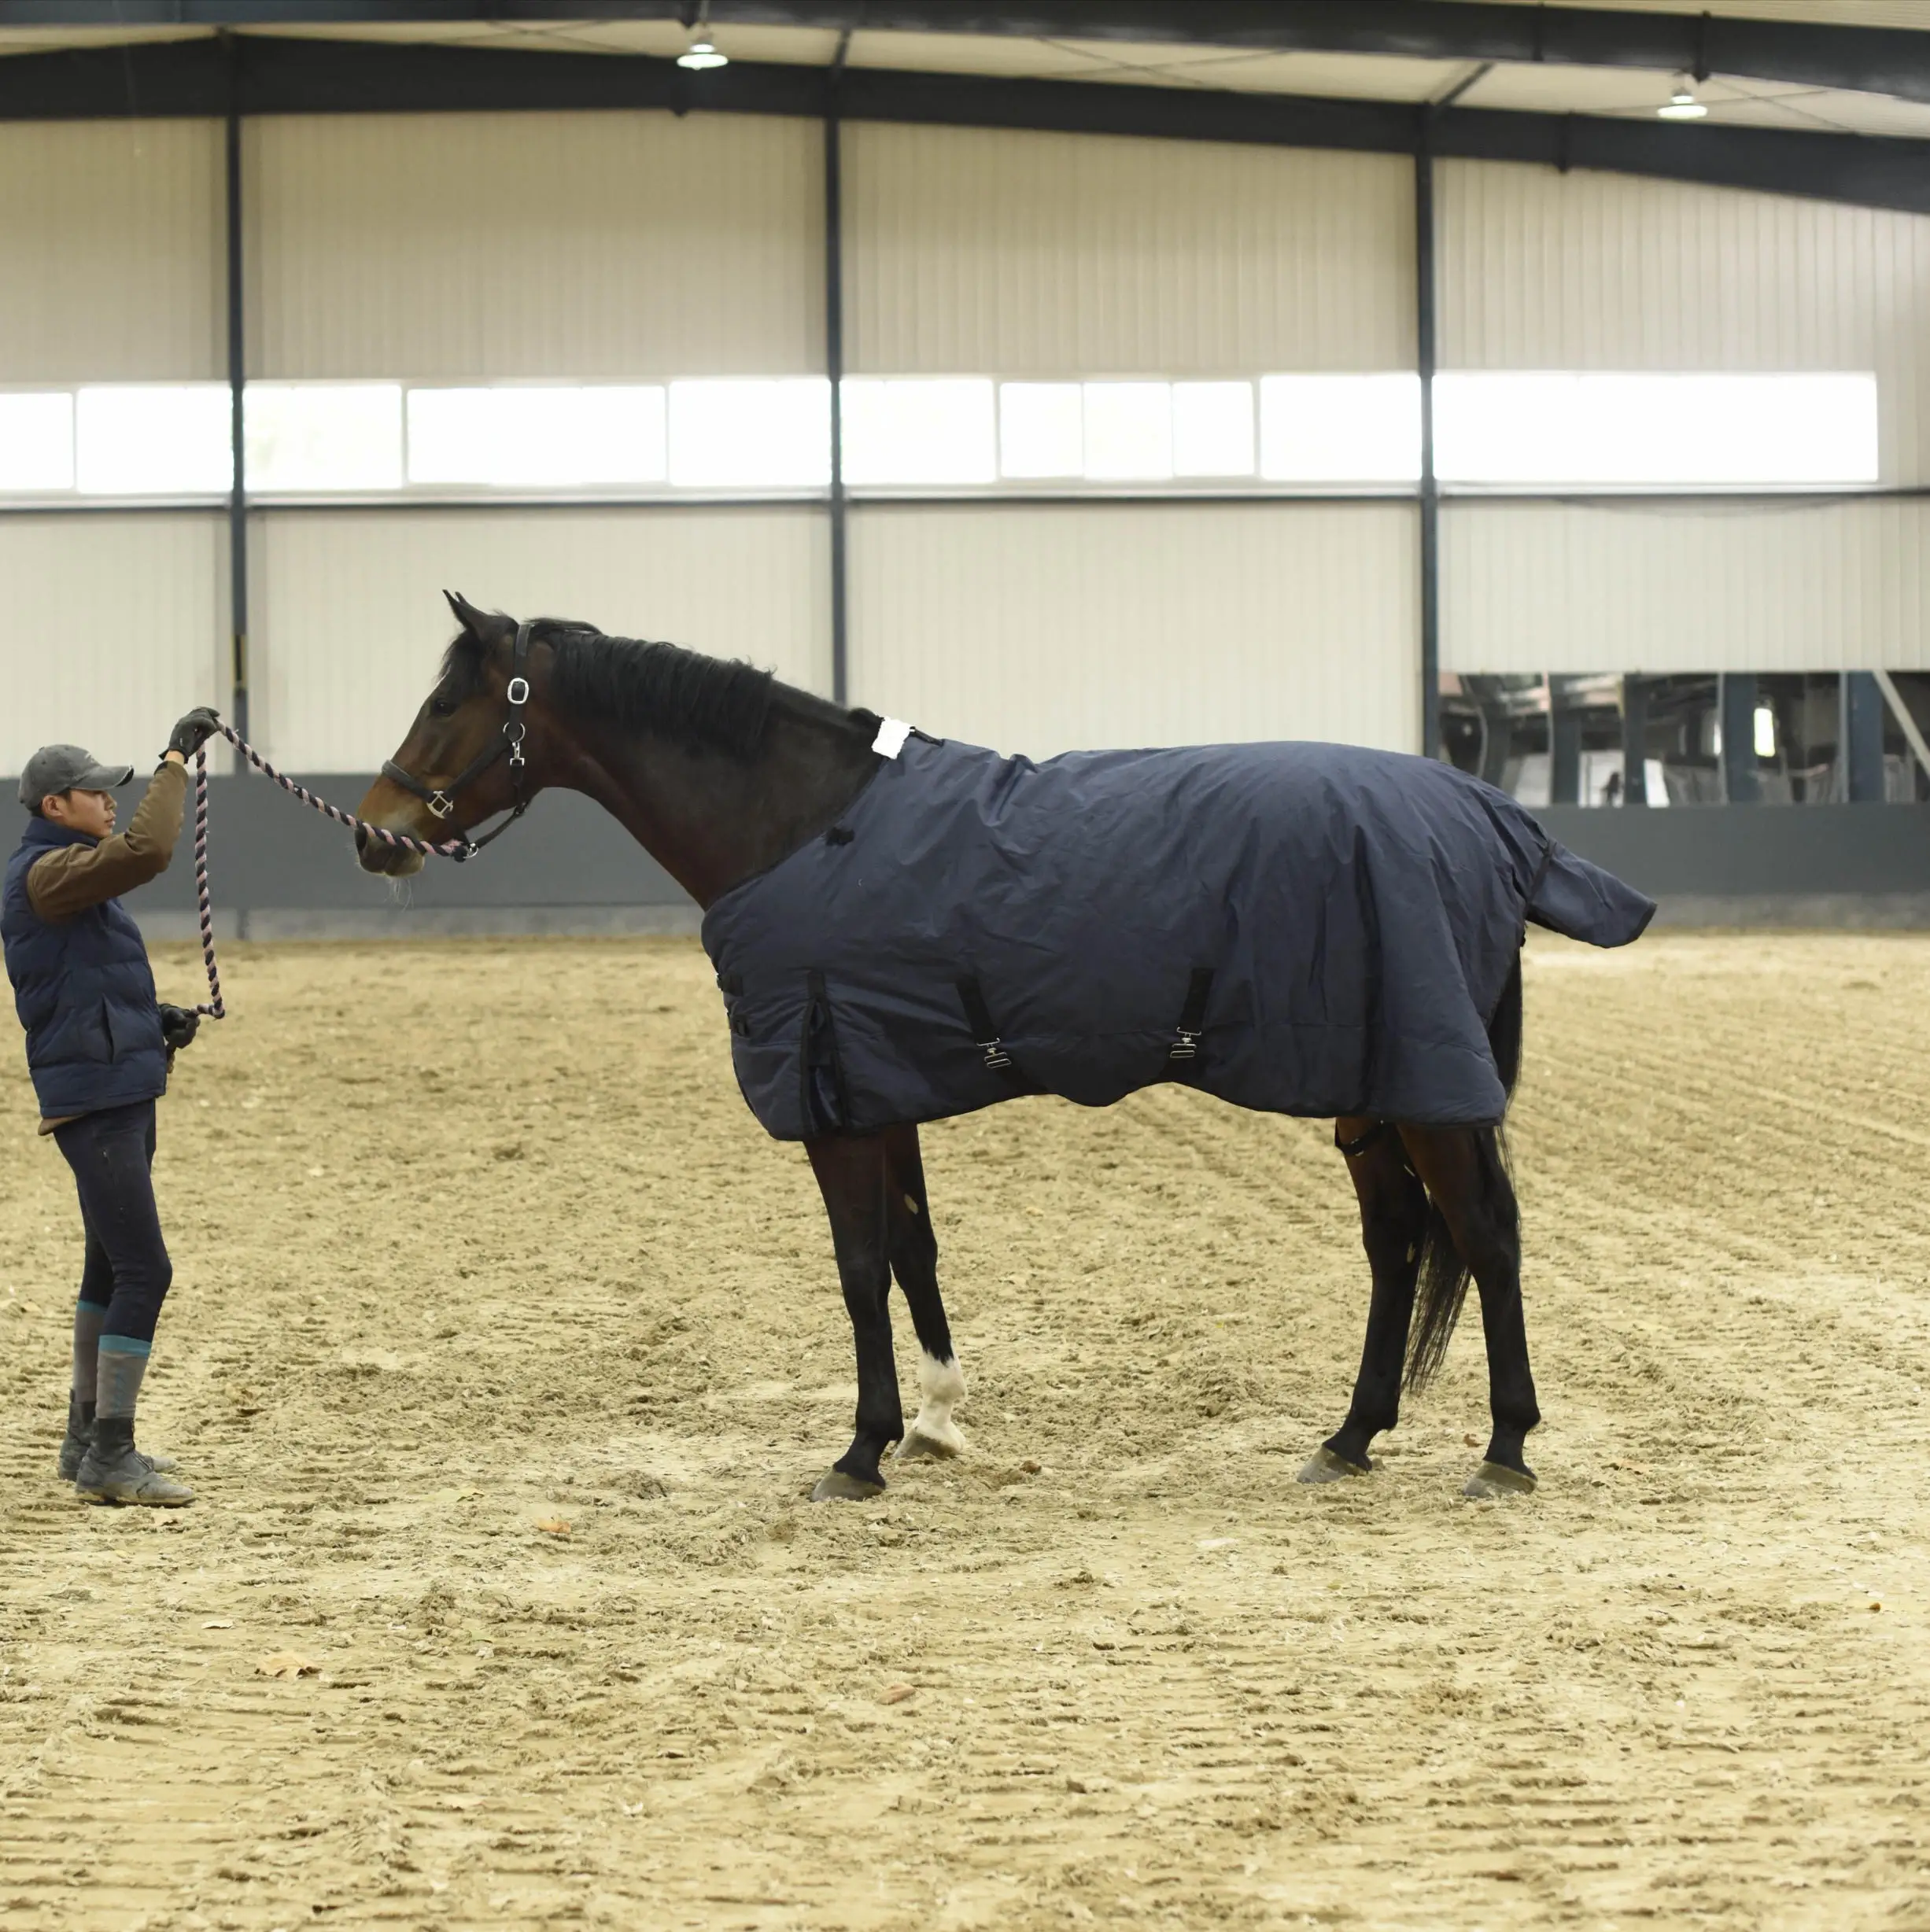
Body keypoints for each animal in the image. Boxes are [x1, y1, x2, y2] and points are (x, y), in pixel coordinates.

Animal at [356, 594, 1653, 1505]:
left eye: (447, 707)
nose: (374, 833)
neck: (800, 823)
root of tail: (1491, 815)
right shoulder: (877, 1084)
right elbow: (912, 1254)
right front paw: (934, 1420)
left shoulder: (835, 1098)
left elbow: (858, 1267)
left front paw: (862, 1450)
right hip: (1369, 1089)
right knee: (1397, 1247)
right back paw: (1347, 1439)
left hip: (1428, 1093)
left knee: (1484, 1237)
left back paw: (1503, 1449)